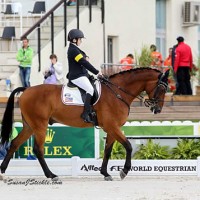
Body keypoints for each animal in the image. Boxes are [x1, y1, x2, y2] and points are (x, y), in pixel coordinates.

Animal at [0, 67, 169, 181]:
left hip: (29, 126)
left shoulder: (112, 128)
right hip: (40, 125)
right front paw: (124, 171)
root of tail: (26, 90)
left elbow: (108, 150)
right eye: (161, 88)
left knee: (14, 143)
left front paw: (105, 173)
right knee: (38, 149)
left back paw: (2, 171)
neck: (117, 93)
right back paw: (51, 175)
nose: (158, 109)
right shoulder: (112, 126)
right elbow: (128, 146)